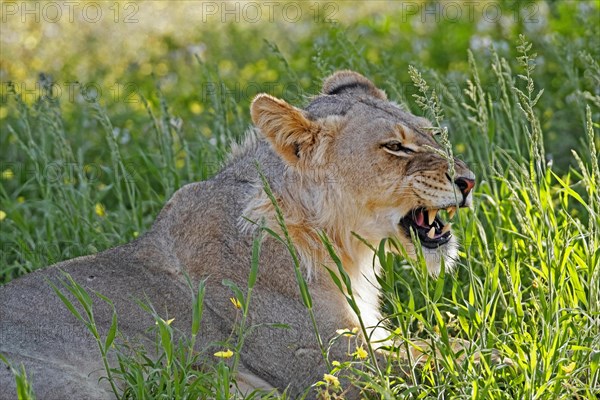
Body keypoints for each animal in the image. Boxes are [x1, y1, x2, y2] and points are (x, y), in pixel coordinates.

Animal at [1, 70, 478, 398]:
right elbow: (447, 357)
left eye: (433, 133)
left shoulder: (371, 338)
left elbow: (446, 343)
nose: (469, 181)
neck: (343, 250)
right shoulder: (329, 363)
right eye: (395, 147)